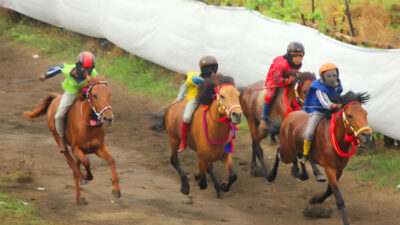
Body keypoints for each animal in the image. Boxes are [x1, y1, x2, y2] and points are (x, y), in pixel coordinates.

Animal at [23, 76, 119, 205]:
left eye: (109, 94)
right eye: (94, 95)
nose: (108, 118)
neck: (89, 125)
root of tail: (55, 98)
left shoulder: (99, 148)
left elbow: (111, 160)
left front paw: (116, 190)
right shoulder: (76, 149)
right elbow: (86, 162)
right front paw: (87, 176)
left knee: (75, 166)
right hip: (58, 138)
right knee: (70, 162)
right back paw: (80, 193)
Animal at [268, 91, 374, 225]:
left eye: (365, 114)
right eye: (350, 116)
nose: (367, 135)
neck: (336, 138)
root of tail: (289, 116)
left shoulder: (339, 169)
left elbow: (330, 190)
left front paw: (316, 200)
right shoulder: (330, 168)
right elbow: (339, 198)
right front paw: (345, 220)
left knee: (301, 156)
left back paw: (303, 173)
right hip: (287, 151)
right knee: (279, 152)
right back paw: (271, 175)